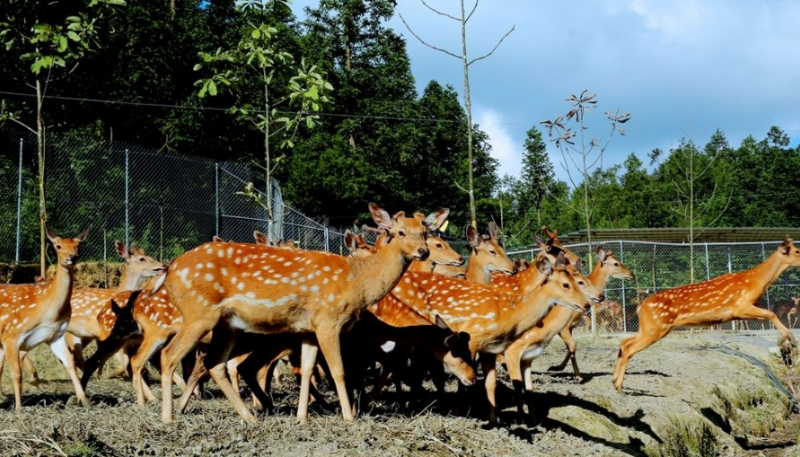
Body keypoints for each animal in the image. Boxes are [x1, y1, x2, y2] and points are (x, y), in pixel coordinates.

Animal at [0, 226, 89, 408]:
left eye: (79, 246)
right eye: (58, 246)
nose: (72, 257)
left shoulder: (55, 335)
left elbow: (70, 363)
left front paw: (85, 401)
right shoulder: (11, 335)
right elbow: (17, 373)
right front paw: (19, 408)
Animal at [159, 204, 440, 424]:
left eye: (425, 232)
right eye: (400, 232)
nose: (422, 252)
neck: (356, 283)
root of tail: (170, 270)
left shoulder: (309, 328)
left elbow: (306, 368)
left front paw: (302, 417)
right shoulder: (328, 319)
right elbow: (338, 370)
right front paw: (349, 417)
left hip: (227, 324)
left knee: (215, 363)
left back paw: (249, 416)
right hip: (198, 312)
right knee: (170, 355)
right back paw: (168, 417)